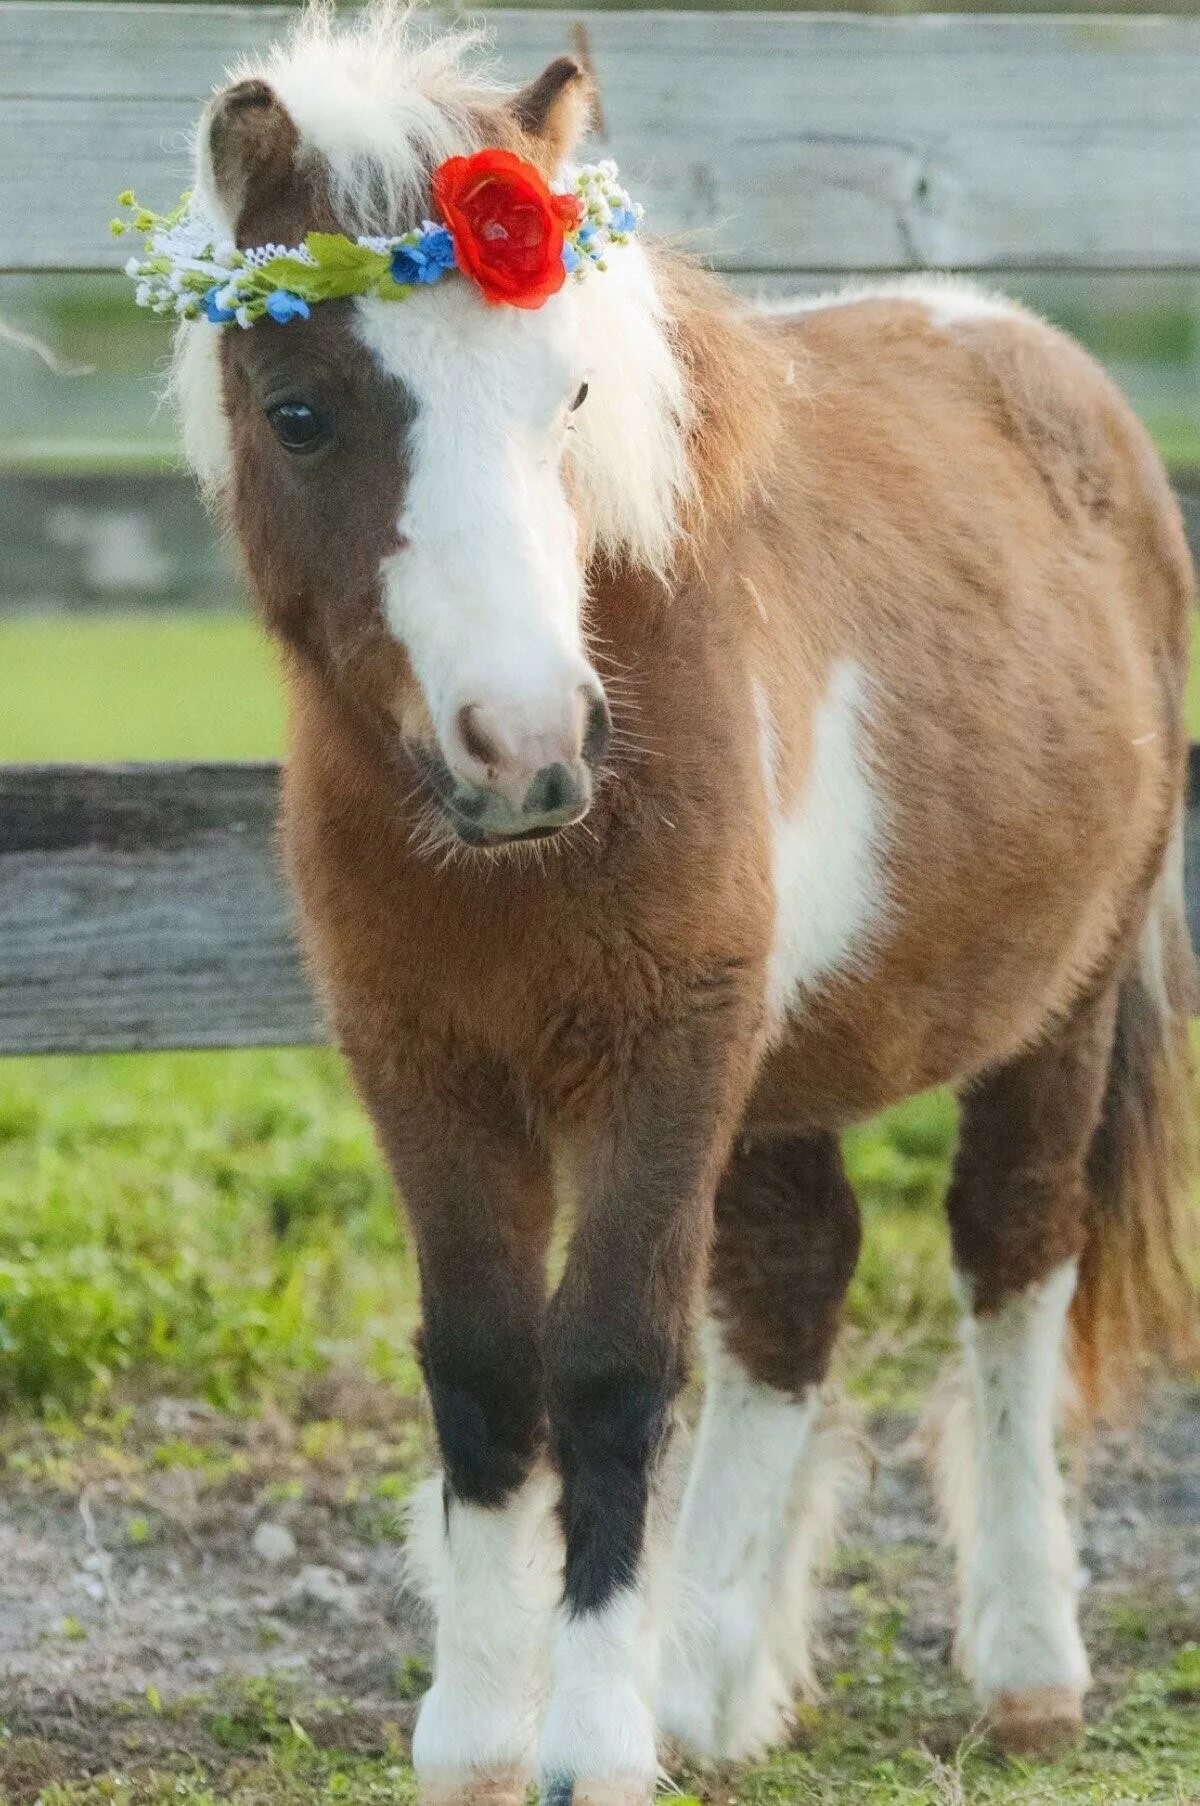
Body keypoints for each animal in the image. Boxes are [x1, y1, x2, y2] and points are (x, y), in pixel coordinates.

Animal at [173, 7, 1192, 1798]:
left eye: (569, 388)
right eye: (298, 412)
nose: (526, 746)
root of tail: (1037, 352)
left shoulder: (662, 1056)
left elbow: (612, 1363)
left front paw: (591, 1744)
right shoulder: (426, 1063)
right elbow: (485, 1364)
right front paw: (480, 1736)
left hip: (1049, 1020)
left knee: (1012, 1265)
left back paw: (1023, 1666)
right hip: (777, 1065)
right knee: (794, 1283)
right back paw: (713, 1685)